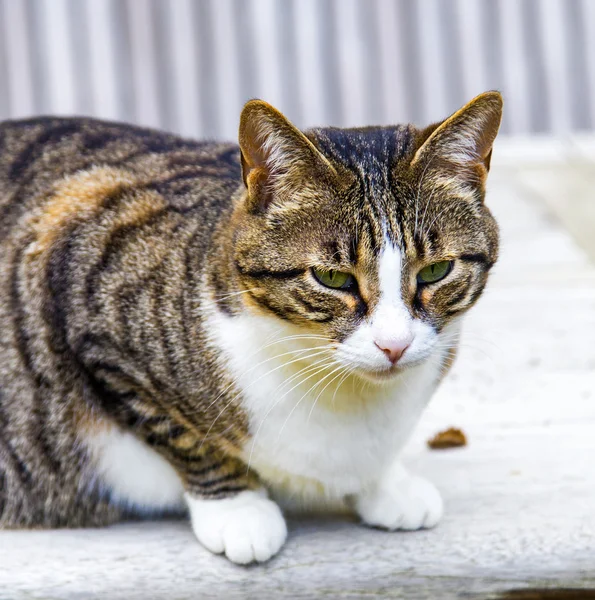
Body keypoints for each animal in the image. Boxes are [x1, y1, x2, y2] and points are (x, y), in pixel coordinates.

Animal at [0, 90, 502, 564]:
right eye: (333, 278)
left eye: (435, 271)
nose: (394, 345)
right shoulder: (88, 293)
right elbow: (185, 438)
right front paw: (238, 509)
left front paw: (386, 482)